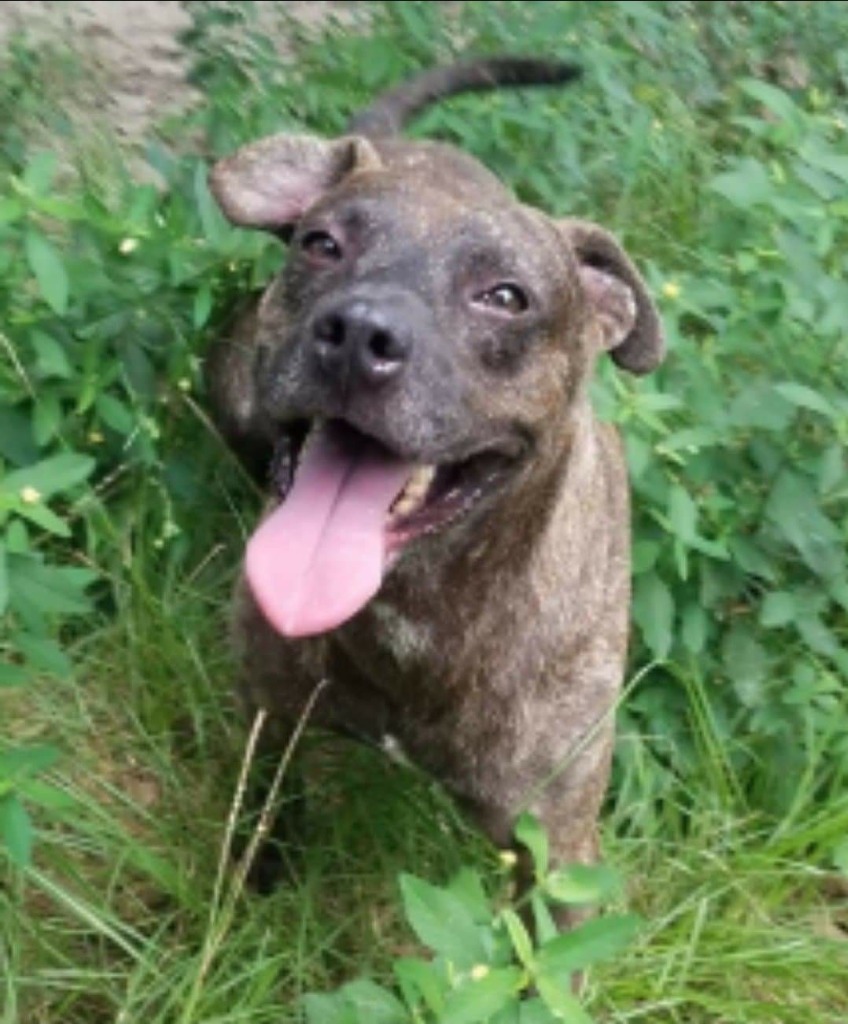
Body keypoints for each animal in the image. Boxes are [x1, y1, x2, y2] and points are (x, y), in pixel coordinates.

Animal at [205, 54, 663, 921]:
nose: (359, 331)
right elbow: (263, 809)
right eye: (322, 244)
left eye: (506, 296)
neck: (413, 613)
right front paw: (257, 878)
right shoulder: (264, 714)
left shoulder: (560, 855)